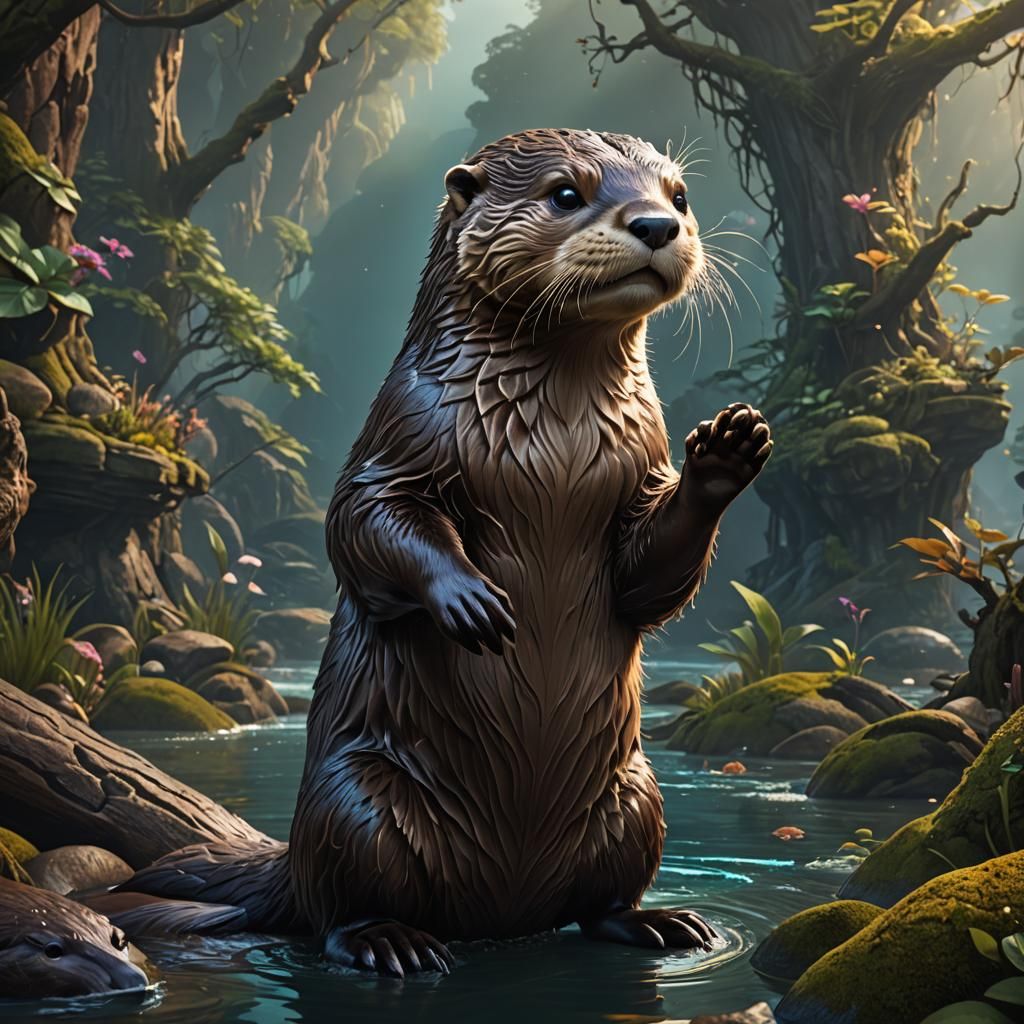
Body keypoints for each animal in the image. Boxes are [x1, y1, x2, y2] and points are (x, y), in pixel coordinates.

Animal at [285, 128, 773, 976]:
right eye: (566, 194)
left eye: (678, 195)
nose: (657, 225)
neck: (556, 445)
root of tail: (502, 914)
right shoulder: (397, 438)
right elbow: (363, 525)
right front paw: (469, 599)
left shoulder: (638, 475)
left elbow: (646, 581)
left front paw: (724, 453)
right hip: (354, 804)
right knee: (335, 908)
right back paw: (389, 941)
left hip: (635, 795)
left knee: (599, 903)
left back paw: (660, 923)